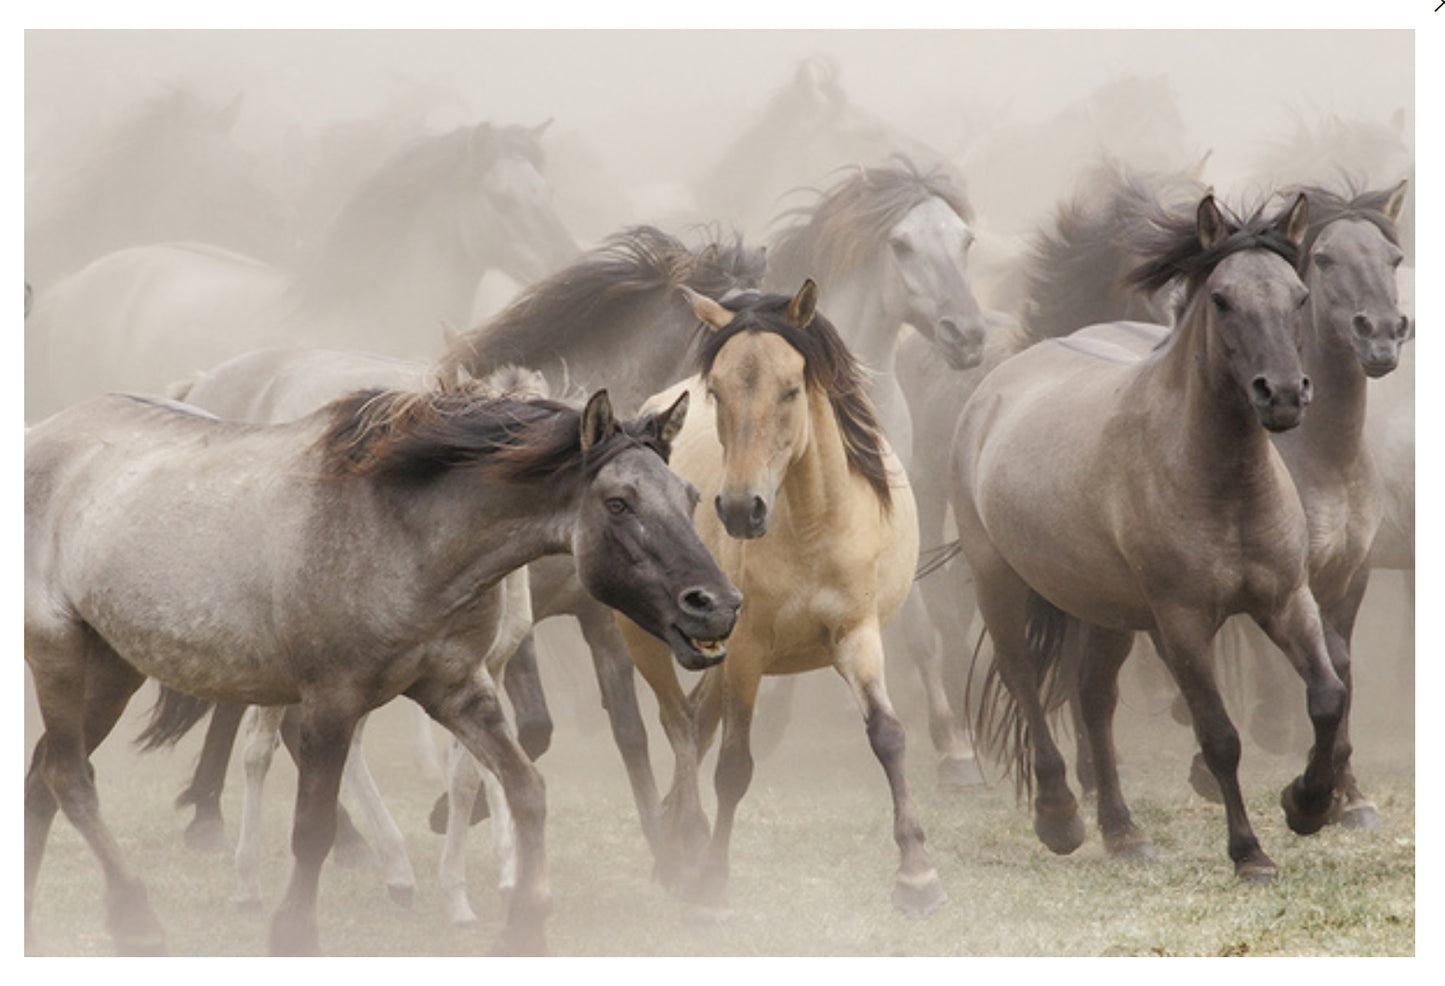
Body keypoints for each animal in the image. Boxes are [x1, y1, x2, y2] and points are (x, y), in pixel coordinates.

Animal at [26, 378, 739, 954]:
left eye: (689, 495)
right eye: (618, 502)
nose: (718, 606)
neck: (397, 532)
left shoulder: (459, 690)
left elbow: (525, 790)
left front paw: (523, 929)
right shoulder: (330, 704)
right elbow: (313, 828)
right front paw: (294, 934)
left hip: (113, 667)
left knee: (42, 776)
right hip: (58, 653)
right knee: (70, 778)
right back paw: (137, 919)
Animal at [953, 192, 1346, 873]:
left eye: (1299, 297)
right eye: (1222, 300)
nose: (1283, 395)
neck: (1219, 481)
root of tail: (994, 390)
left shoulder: (1287, 600)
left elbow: (1326, 697)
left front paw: (1307, 804)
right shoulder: (1182, 621)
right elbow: (1219, 737)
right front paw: (1250, 855)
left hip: (1105, 609)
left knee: (1093, 700)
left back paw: (1124, 832)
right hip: (997, 582)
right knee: (1024, 680)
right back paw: (1060, 817)